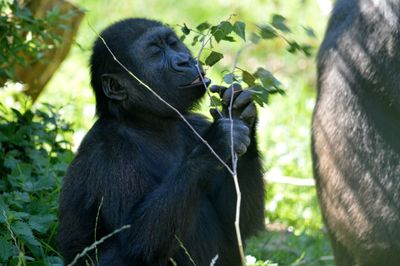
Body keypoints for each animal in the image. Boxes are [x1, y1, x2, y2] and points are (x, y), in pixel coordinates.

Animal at [55, 17, 262, 264]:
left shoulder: (195, 123)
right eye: (155, 52)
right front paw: (217, 142)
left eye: (173, 43)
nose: (184, 61)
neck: (145, 122)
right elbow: (137, 240)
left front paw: (240, 112)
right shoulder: (108, 154)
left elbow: (237, 224)